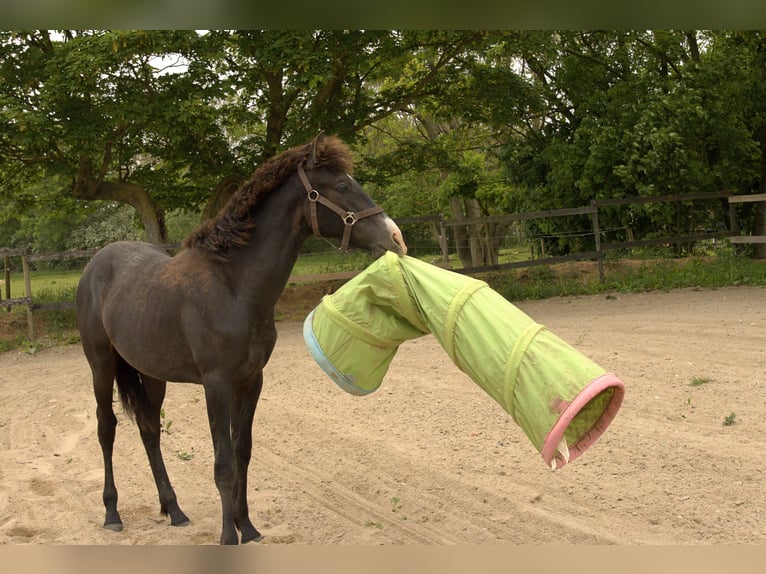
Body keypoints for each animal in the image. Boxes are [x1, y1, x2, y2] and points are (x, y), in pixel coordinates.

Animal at [75, 133, 407, 544]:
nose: (395, 236)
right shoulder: (216, 383)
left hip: (151, 374)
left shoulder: (250, 381)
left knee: (150, 430)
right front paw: (227, 537)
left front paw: (246, 527)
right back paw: (112, 513)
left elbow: (242, 452)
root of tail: (96, 263)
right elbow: (223, 464)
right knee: (106, 428)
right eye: (343, 186)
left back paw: (175, 510)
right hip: (101, 365)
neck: (234, 288)